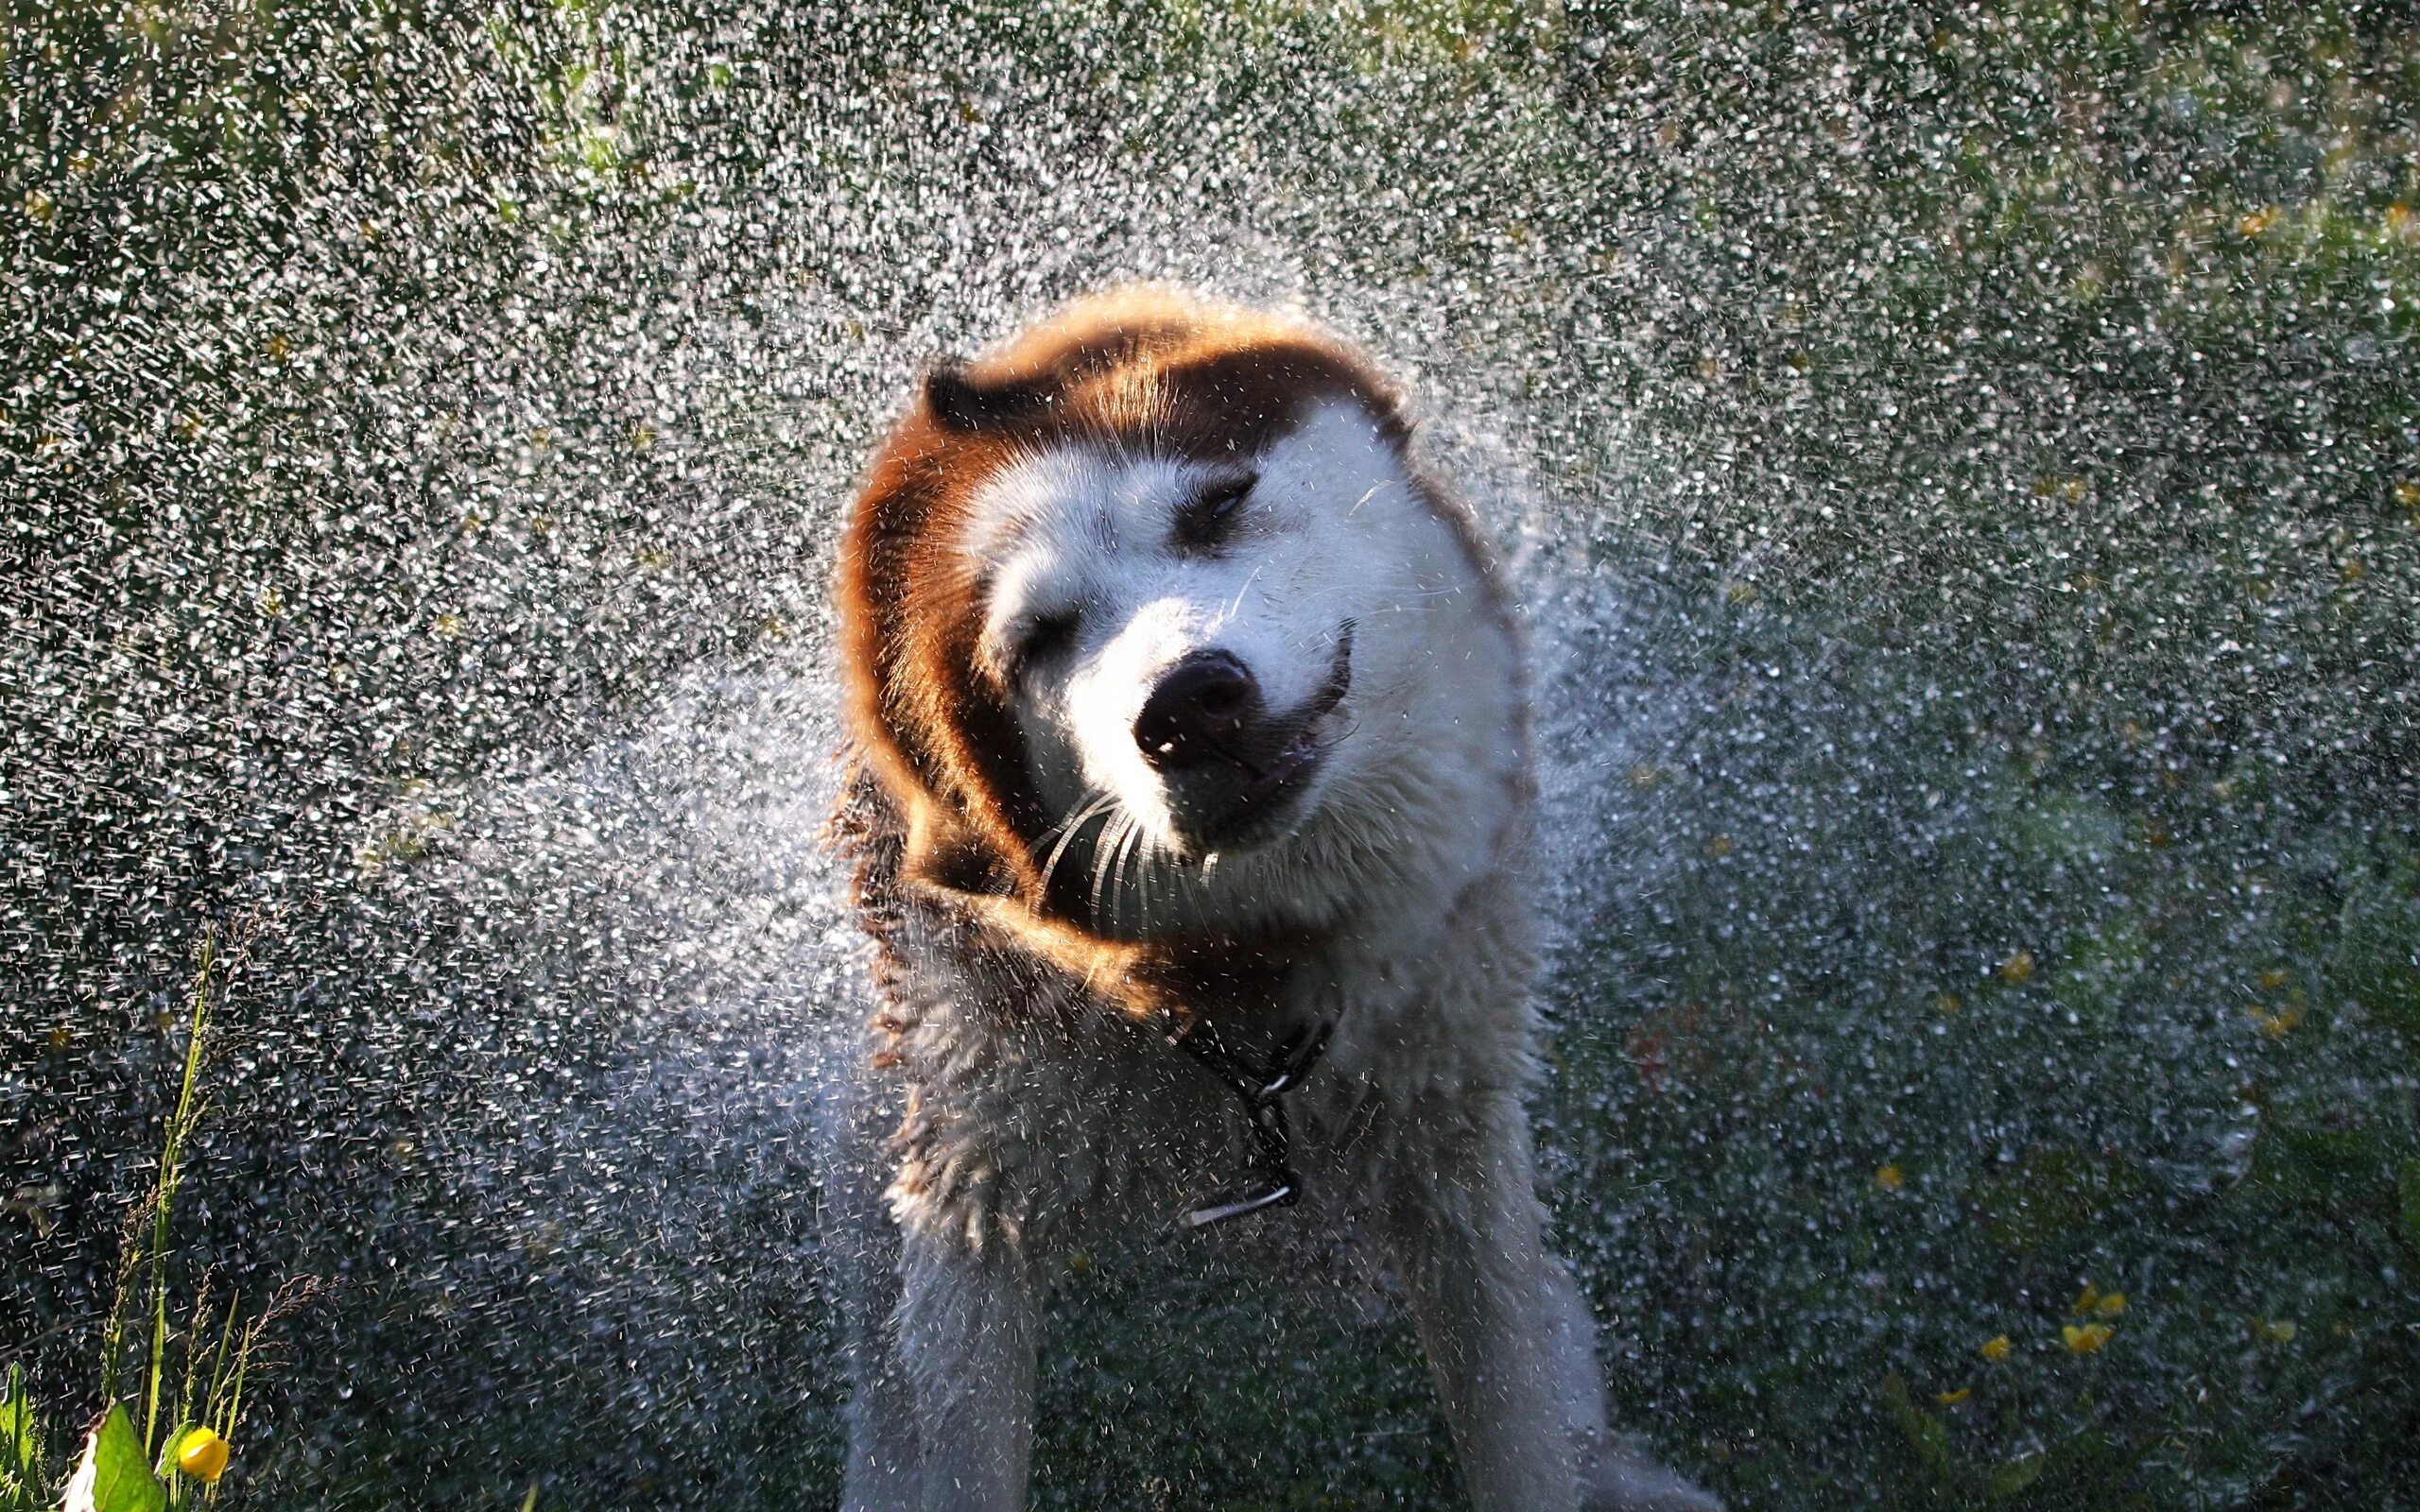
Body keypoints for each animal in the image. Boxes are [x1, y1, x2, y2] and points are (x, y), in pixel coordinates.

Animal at [832, 285, 1722, 1509]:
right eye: (1038, 638)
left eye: (1216, 504)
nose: (1188, 706)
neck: (1248, 1003)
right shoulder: (974, 1192)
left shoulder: (1452, 1129)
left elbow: (1517, 1420)